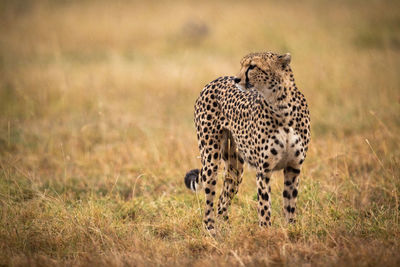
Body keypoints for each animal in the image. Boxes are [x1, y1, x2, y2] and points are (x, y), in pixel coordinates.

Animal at [185, 51, 312, 236]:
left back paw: (226, 229)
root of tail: (215, 80)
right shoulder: (264, 170)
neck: (281, 106)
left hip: (235, 168)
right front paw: (266, 233)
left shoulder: (293, 168)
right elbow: (265, 206)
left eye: (252, 66)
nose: (237, 79)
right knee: (209, 198)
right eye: (243, 64)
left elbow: (290, 204)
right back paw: (211, 230)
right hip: (211, 157)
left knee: (223, 199)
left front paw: (291, 229)